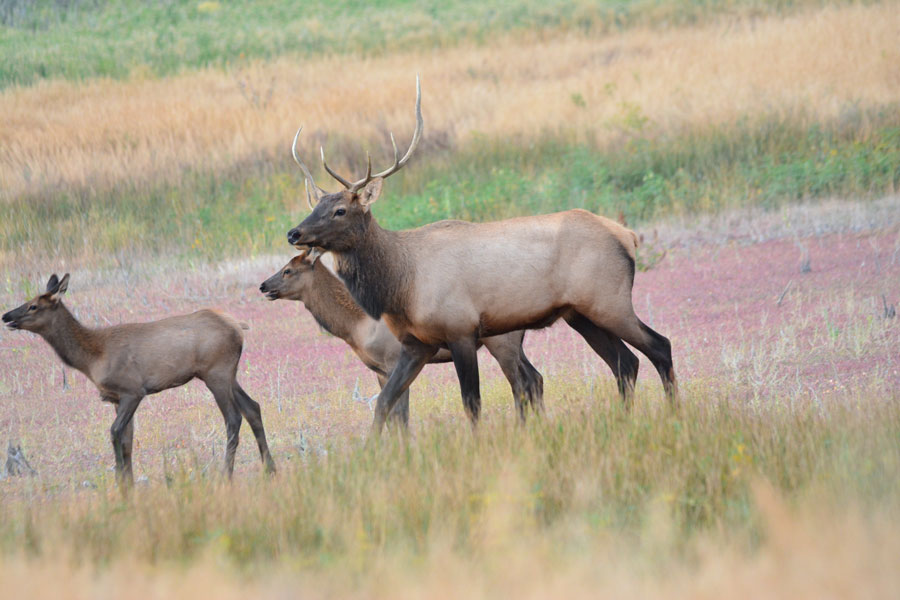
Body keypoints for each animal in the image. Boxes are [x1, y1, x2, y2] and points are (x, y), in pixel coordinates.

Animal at [2, 274, 276, 484]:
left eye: (33, 306)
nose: (6, 316)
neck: (91, 359)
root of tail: (238, 327)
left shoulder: (132, 391)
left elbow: (114, 433)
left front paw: (121, 485)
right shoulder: (116, 398)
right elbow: (127, 441)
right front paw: (129, 485)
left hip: (216, 372)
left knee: (233, 418)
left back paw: (226, 474)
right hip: (228, 374)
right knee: (253, 407)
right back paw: (270, 468)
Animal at [259, 247, 544, 424]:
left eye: (287, 270)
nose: (263, 286)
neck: (356, 327)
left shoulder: (394, 359)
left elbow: (399, 414)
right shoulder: (379, 370)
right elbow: (393, 414)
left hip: (501, 342)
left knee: (519, 384)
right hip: (514, 344)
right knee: (535, 378)